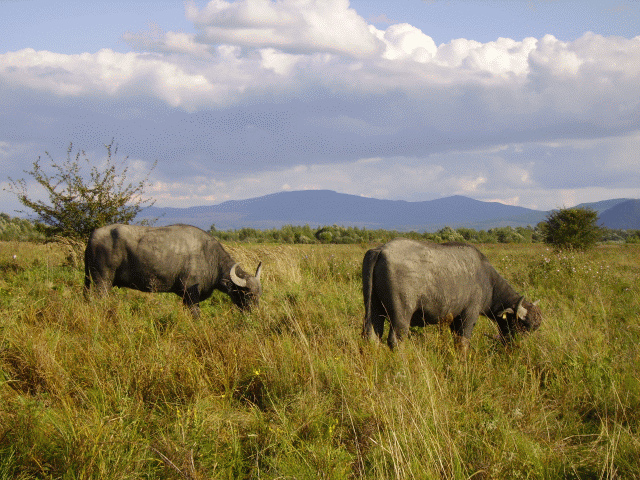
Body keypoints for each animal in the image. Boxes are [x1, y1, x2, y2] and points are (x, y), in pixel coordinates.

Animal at [85, 224, 262, 316]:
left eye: (259, 295)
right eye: (248, 294)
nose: (255, 314)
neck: (209, 257)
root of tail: (93, 235)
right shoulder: (191, 295)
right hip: (103, 282)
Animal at [360, 238, 540, 354]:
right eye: (523, 326)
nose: (520, 348)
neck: (487, 280)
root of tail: (380, 250)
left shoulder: (455, 319)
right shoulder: (469, 315)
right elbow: (463, 342)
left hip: (373, 309)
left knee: (372, 336)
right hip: (401, 315)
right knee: (396, 340)